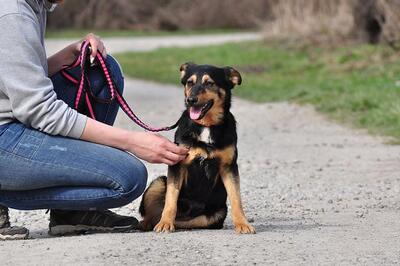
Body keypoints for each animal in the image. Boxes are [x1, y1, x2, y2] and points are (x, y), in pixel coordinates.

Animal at [139, 63, 255, 234]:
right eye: (189, 83)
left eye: (209, 83)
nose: (190, 100)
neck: (206, 125)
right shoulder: (177, 164)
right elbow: (171, 200)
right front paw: (165, 223)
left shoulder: (229, 167)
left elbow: (236, 199)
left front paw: (243, 224)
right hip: (158, 183)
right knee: (154, 213)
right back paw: (149, 223)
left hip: (215, 215)